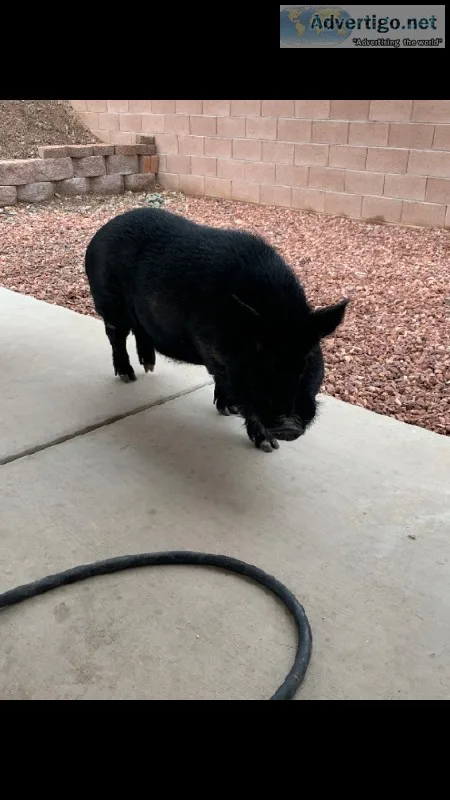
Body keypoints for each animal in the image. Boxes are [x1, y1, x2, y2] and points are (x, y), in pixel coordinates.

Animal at [85, 207, 347, 452]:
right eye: (259, 354)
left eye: (309, 357)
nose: (288, 425)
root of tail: (100, 233)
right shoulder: (211, 350)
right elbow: (238, 392)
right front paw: (267, 444)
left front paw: (231, 412)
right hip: (109, 302)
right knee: (116, 337)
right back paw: (129, 377)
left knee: (140, 332)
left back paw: (149, 367)